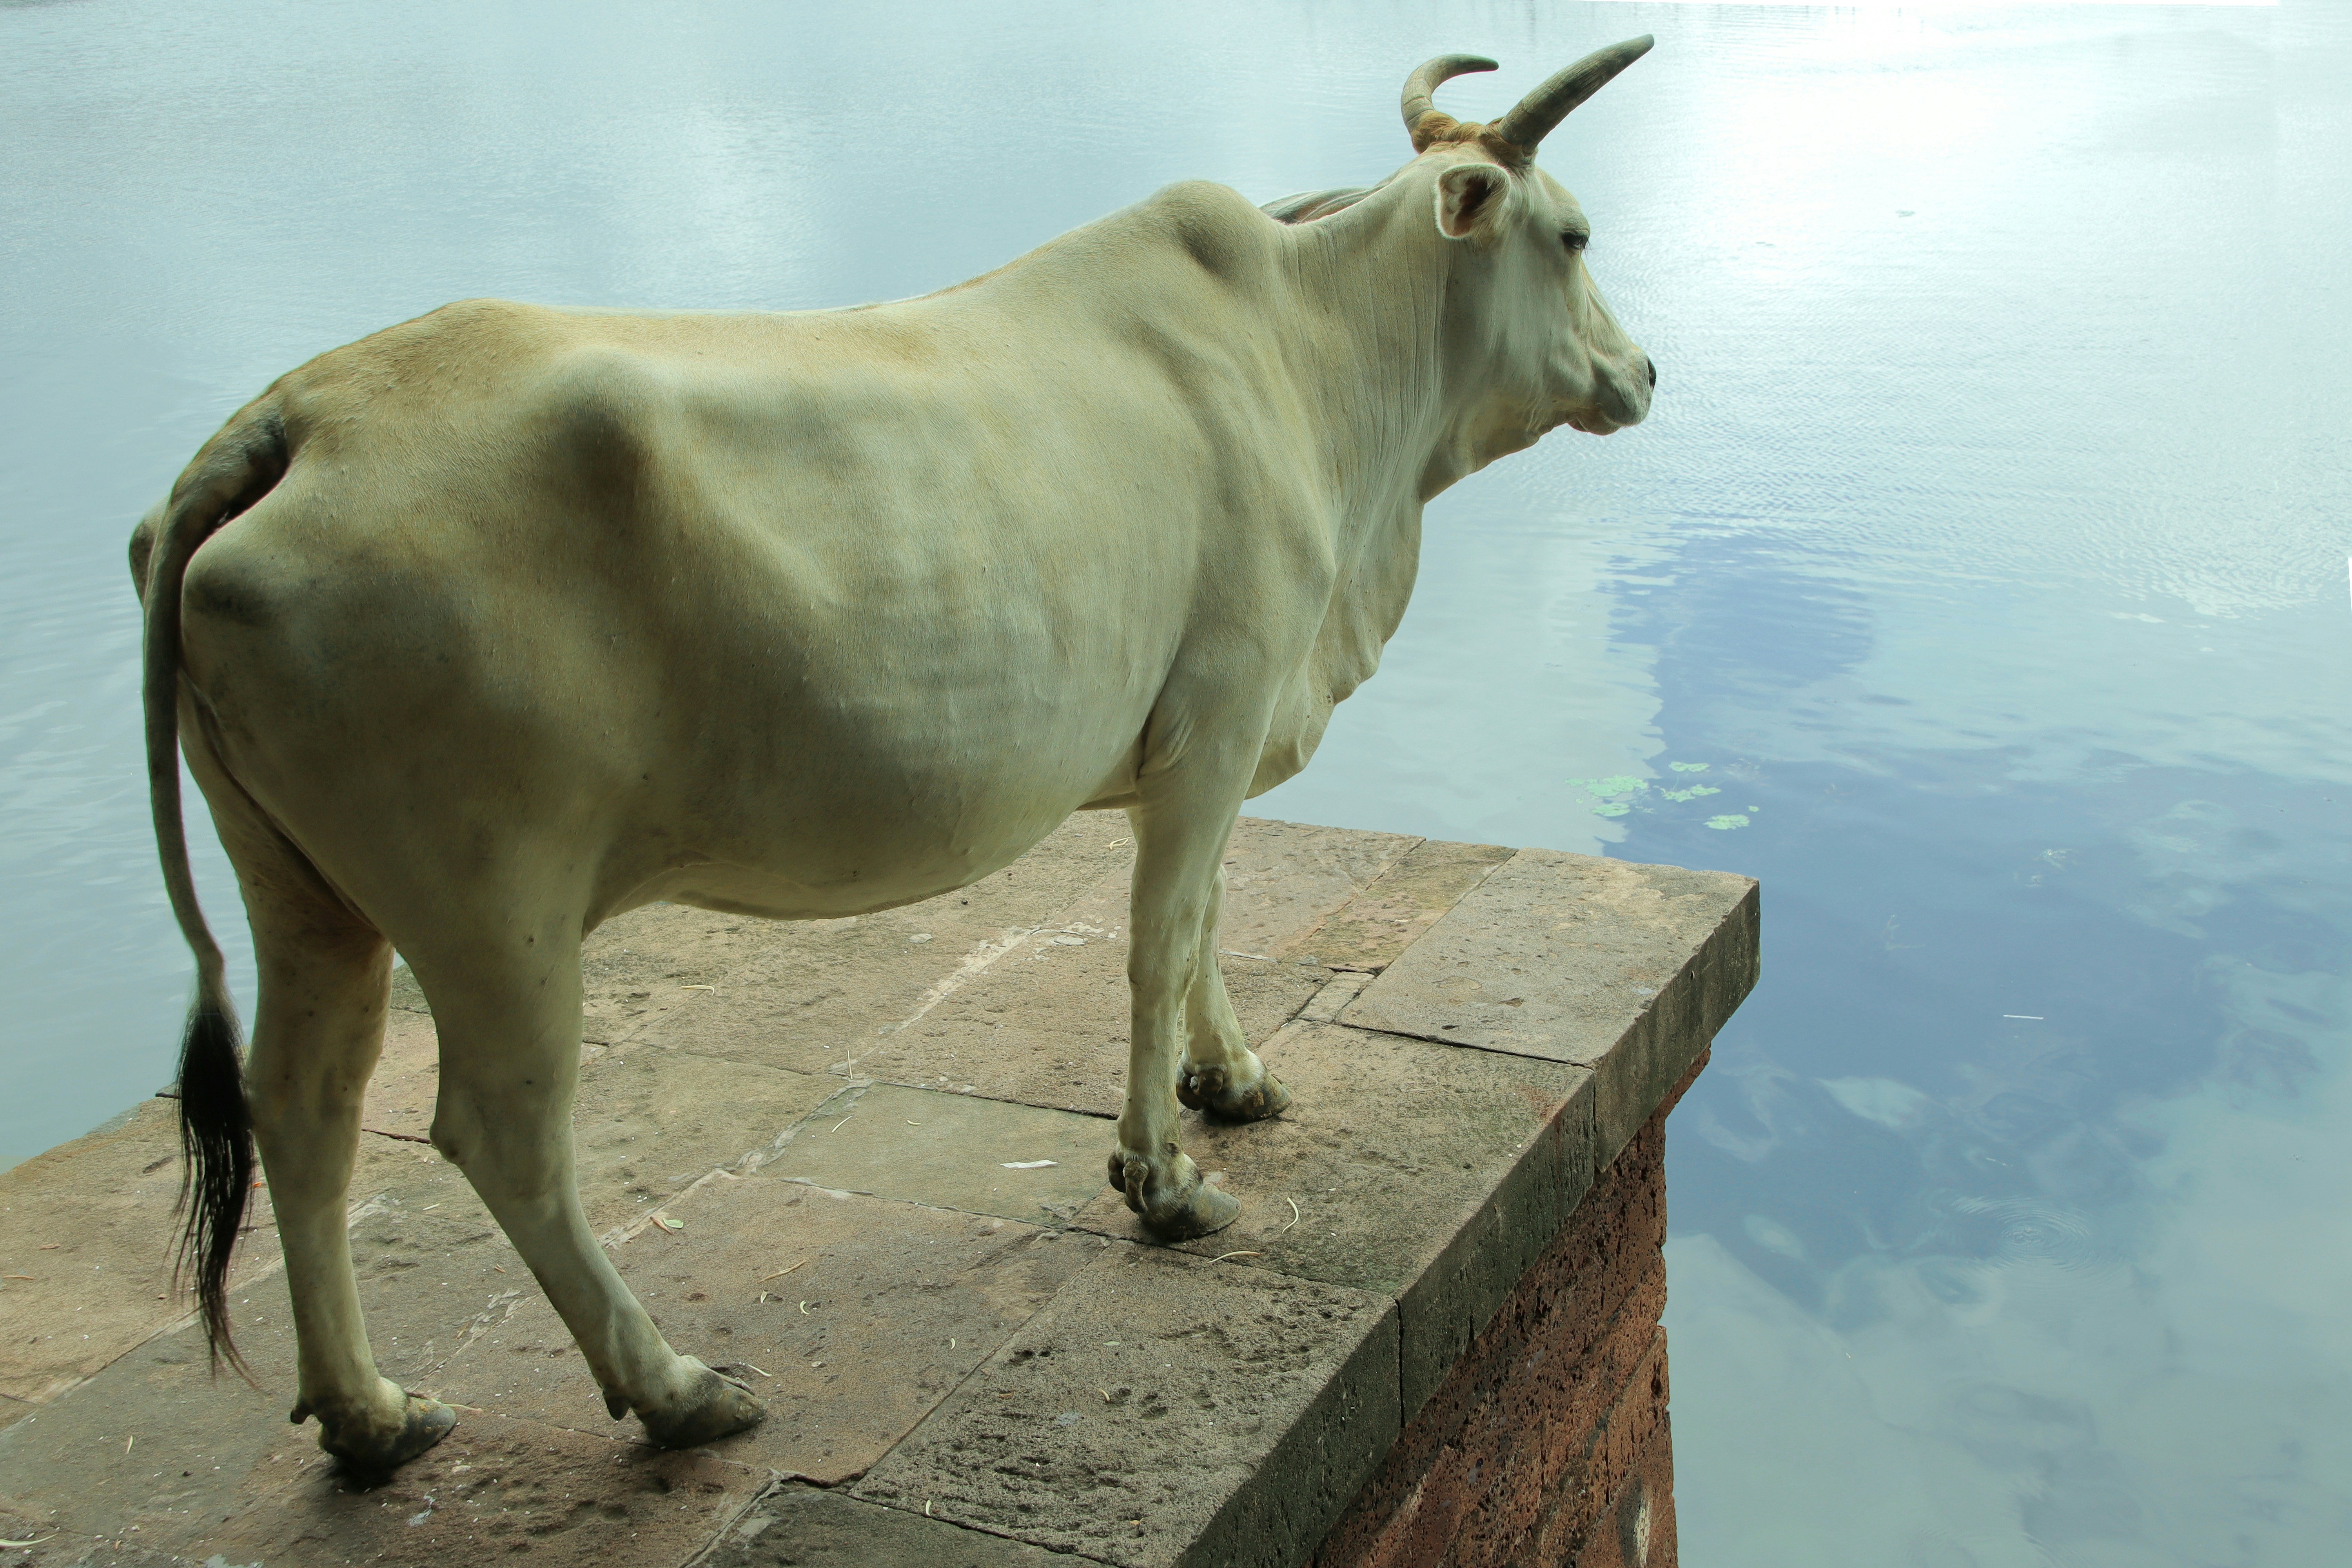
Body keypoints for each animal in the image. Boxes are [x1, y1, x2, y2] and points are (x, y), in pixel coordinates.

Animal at [132, 40, 1656, 1472]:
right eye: (1575, 236)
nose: (1644, 372)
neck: (1324, 374)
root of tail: (293, 418)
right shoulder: (1220, 711)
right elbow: (1160, 942)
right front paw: (1163, 1182)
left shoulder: (1201, 742)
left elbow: (1208, 917)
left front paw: (1232, 1083)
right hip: (490, 901)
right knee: (501, 1134)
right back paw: (673, 1389)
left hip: (309, 896)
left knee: (305, 1112)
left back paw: (368, 1413)